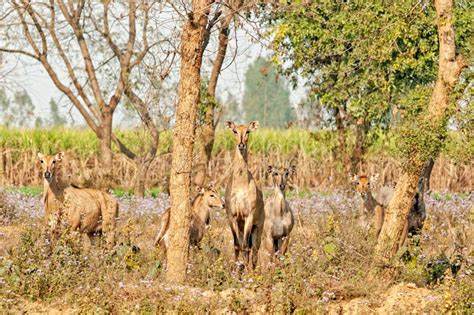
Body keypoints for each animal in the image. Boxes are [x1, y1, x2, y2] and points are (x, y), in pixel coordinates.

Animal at [224, 121, 264, 270]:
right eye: (235, 131)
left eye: (248, 131)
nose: (241, 145)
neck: (241, 183)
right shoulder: (232, 217)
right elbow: (237, 246)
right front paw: (236, 270)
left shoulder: (249, 216)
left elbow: (246, 247)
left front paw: (246, 271)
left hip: (258, 227)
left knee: (254, 249)